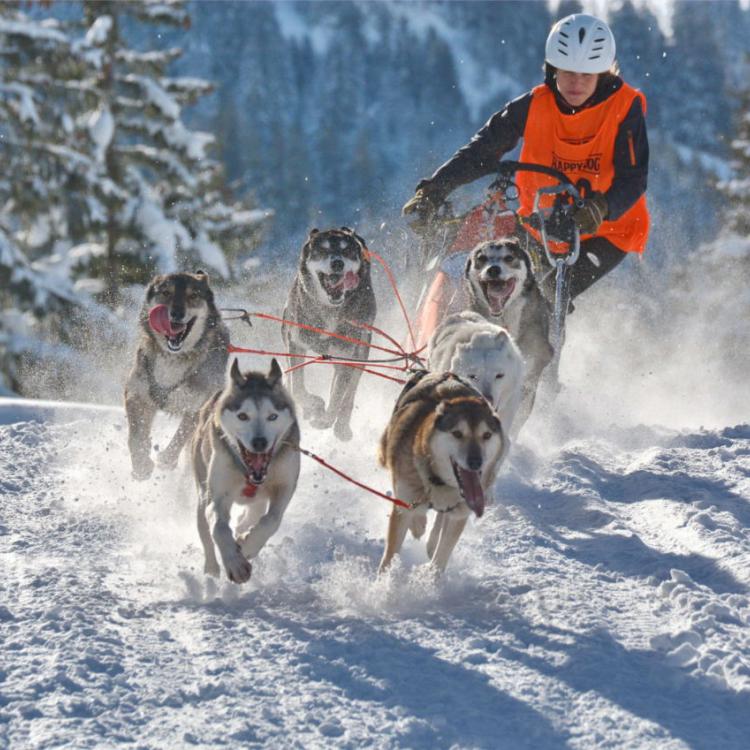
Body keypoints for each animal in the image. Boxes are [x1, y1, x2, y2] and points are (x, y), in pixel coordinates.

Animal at [125, 272, 231, 482]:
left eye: (193, 295)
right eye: (166, 292)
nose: (176, 314)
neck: (173, 359)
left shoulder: (198, 405)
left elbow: (181, 435)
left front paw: (167, 459)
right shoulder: (137, 394)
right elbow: (135, 435)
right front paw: (141, 464)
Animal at [192, 360, 302, 588]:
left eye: (272, 416)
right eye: (243, 416)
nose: (259, 442)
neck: (250, 472)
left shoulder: (285, 487)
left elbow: (271, 520)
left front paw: (248, 545)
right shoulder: (218, 496)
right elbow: (219, 527)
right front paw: (235, 563)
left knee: (255, 514)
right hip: (202, 490)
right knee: (206, 533)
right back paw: (211, 569)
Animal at [282, 226, 376, 444]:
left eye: (346, 250)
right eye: (322, 250)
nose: (337, 262)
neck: (328, 311)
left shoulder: (347, 355)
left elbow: (338, 396)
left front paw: (326, 419)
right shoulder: (295, 342)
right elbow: (297, 387)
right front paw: (314, 404)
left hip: (360, 352)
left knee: (349, 392)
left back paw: (341, 426)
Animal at [378, 372, 508, 576]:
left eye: (486, 435)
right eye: (457, 433)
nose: (476, 462)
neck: (437, 480)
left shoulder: (459, 515)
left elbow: (442, 556)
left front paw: (431, 578)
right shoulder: (404, 504)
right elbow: (391, 555)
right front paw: (385, 581)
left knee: (440, 519)